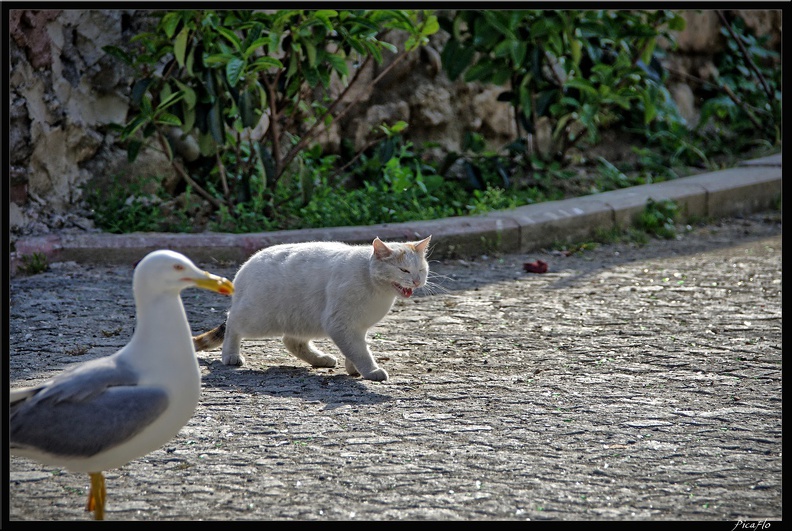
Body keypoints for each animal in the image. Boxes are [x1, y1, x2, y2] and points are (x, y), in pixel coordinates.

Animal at [193, 238, 434, 382]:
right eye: (404, 270)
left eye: (421, 270)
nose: (416, 281)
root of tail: (245, 266)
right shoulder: (340, 324)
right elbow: (359, 351)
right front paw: (370, 370)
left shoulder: (356, 327)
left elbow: (355, 349)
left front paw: (353, 368)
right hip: (258, 318)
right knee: (232, 322)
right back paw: (230, 355)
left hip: (302, 319)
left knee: (292, 342)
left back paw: (320, 359)